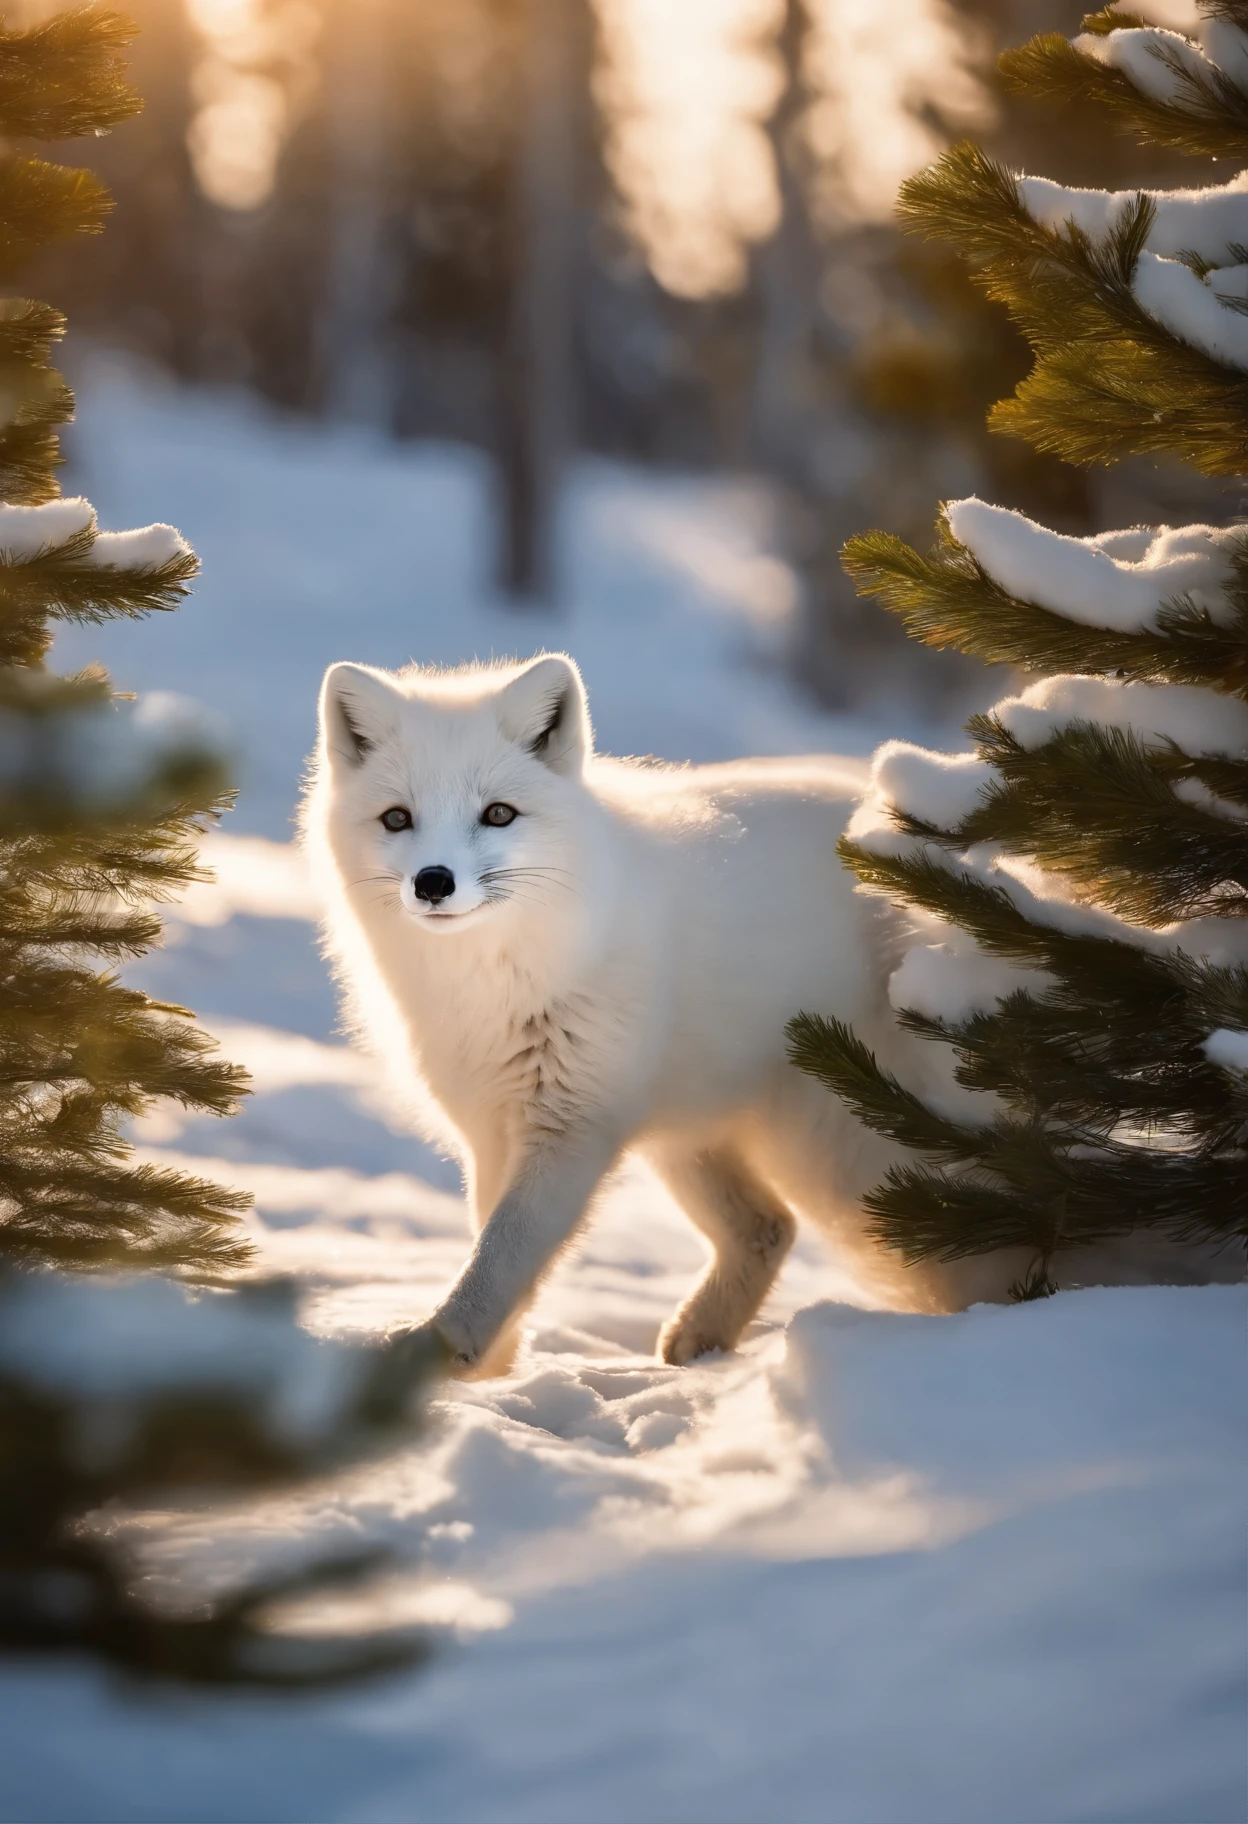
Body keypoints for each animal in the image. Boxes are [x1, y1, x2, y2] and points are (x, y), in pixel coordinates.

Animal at [302, 649, 1240, 1371]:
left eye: (498, 813)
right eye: (397, 819)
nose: (434, 883)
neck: (496, 981)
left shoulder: (569, 1125)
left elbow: (499, 1259)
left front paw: (439, 1356)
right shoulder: (496, 1127)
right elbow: (495, 1251)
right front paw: (493, 1371)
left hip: (861, 1151)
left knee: (1016, 1224)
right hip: (704, 1141)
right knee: (769, 1231)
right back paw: (701, 1340)